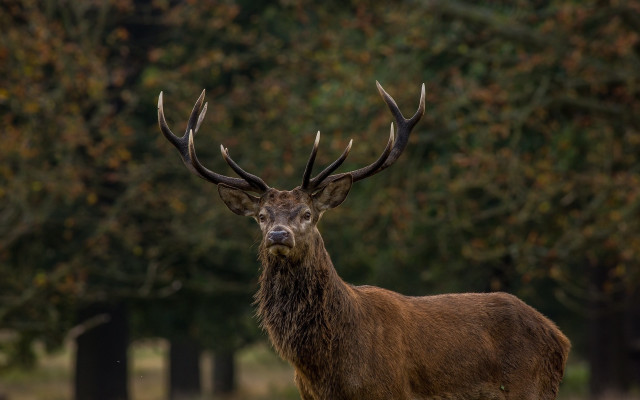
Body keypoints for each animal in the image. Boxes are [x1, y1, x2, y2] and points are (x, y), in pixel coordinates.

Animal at [157, 82, 571, 400]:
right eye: (261, 217)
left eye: (307, 214)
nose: (278, 235)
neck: (329, 367)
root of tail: (559, 338)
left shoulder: (390, 391)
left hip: (529, 389)